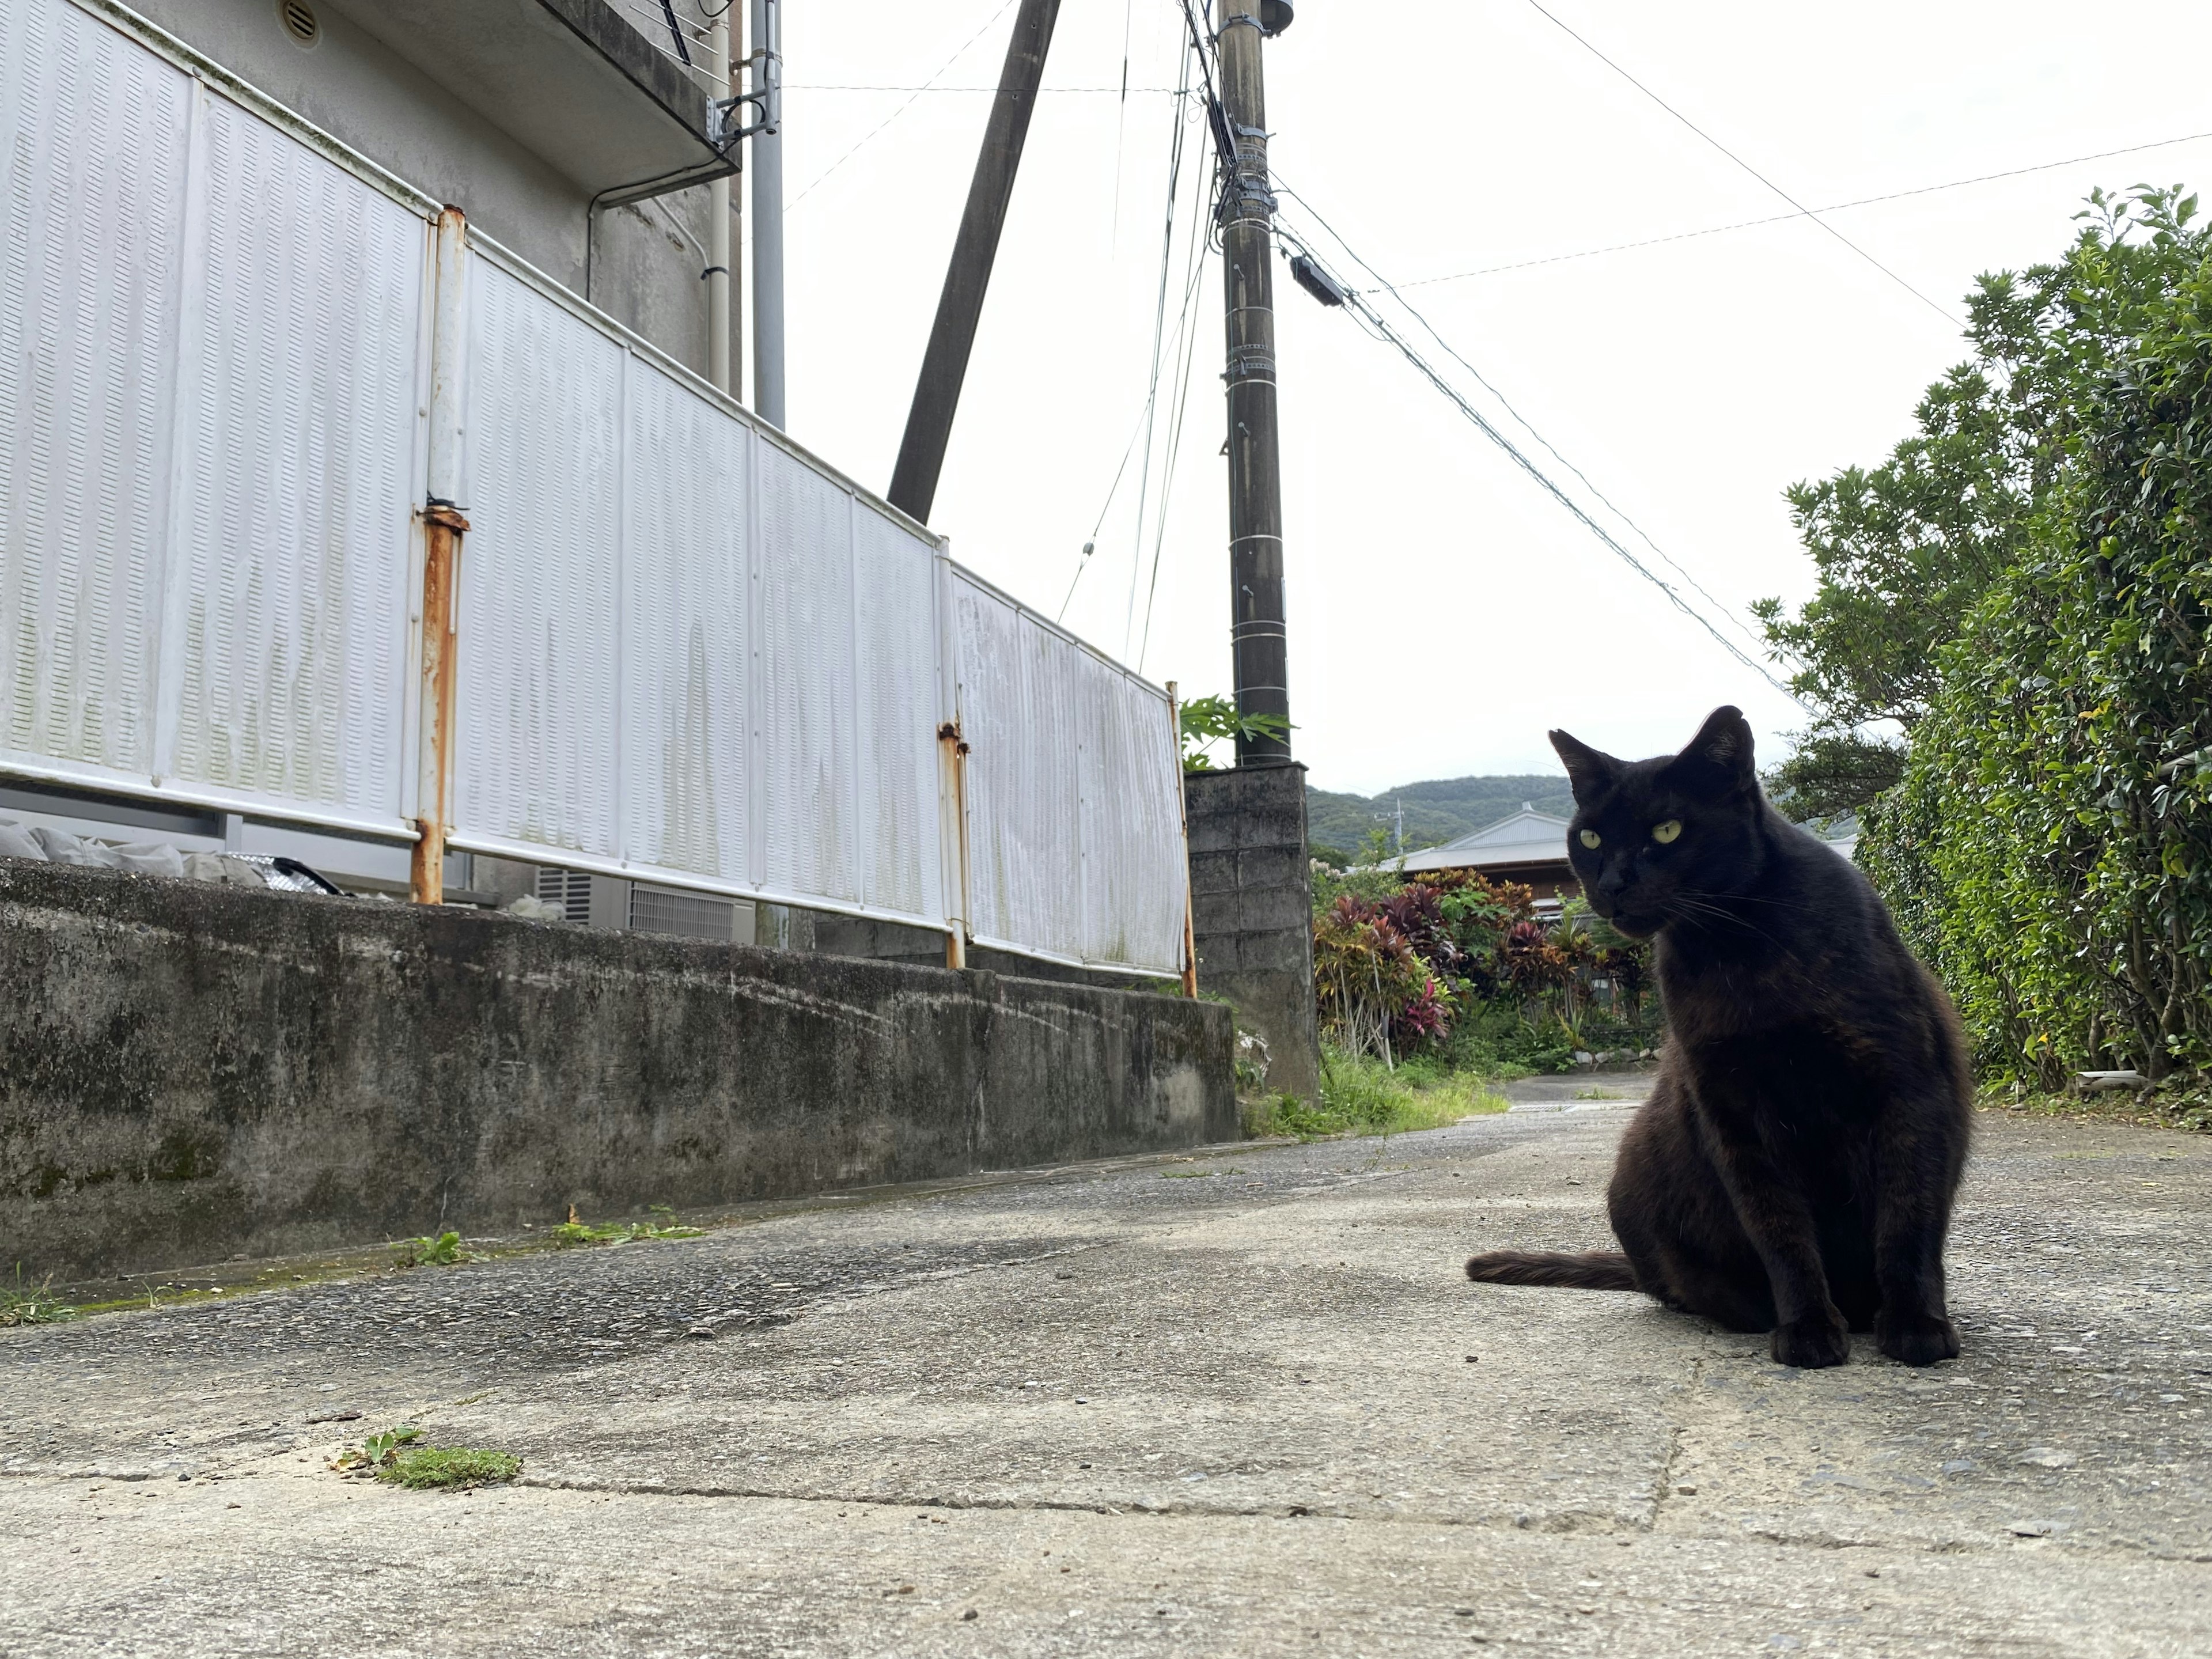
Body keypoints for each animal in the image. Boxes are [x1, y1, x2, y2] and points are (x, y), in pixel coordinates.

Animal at [1468, 707, 1973, 1371]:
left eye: (1667, 830)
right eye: (1592, 839)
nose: (1613, 883)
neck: (1738, 948)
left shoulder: (1907, 1087)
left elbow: (1907, 1216)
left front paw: (1917, 1326)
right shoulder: (1734, 1113)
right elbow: (1779, 1229)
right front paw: (1807, 1327)